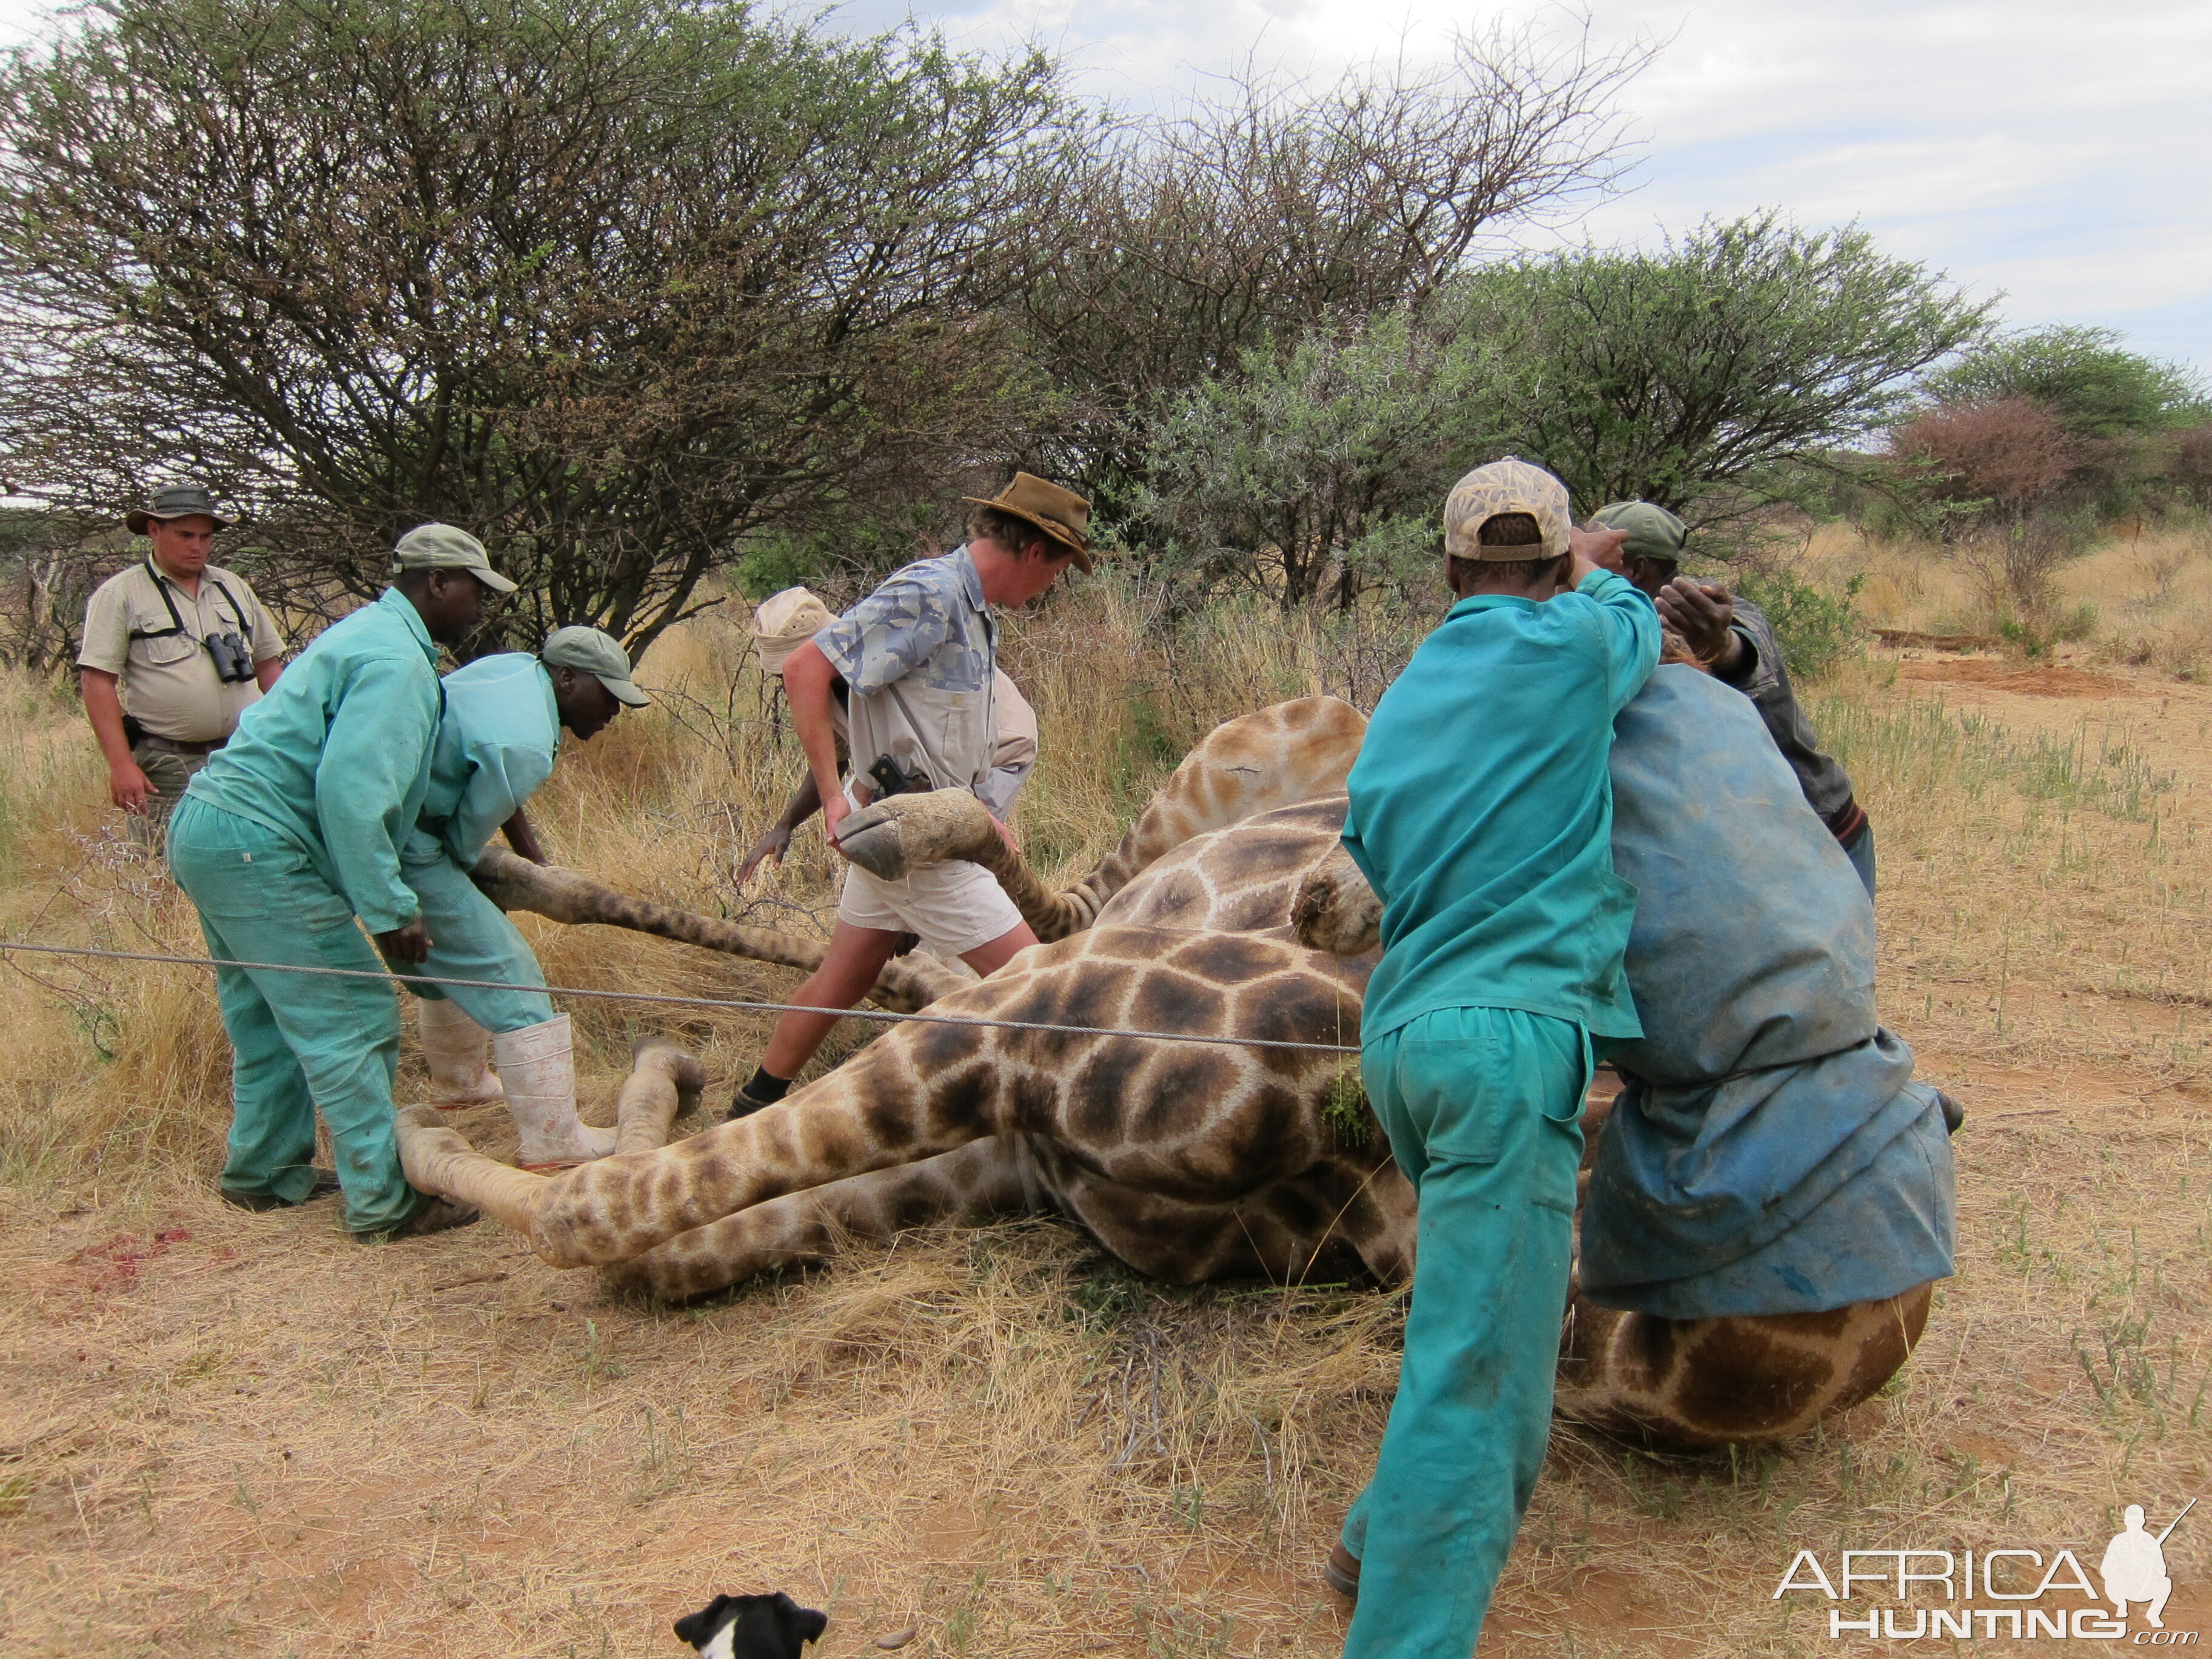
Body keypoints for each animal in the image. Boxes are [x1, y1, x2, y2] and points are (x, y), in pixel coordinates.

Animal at [398, 694, 1937, 1451]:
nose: (1331, 899)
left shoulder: (1021, 1087)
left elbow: (619, 1227)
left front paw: (460, 1136)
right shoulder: (1024, 1106)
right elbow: (656, 1228)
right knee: (1029, 896)